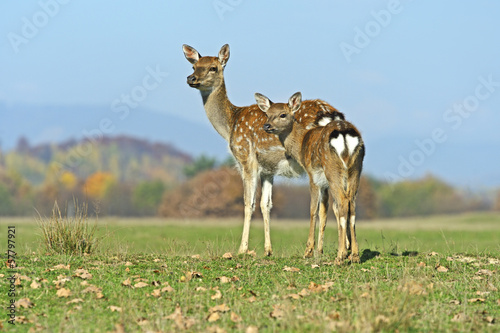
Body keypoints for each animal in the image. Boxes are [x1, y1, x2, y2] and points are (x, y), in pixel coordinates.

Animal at [183, 44, 344, 255]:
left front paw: (242, 249)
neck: (230, 125)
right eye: (194, 66)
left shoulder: (246, 158)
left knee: (329, 202)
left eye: (213, 68)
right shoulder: (268, 169)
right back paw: (322, 250)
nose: (191, 78)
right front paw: (268, 250)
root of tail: (332, 116)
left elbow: (248, 203)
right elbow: (265, 204)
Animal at [256, 91, 366, 262]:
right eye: (267, 114)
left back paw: (340, 256)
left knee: (343, 202)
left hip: (332, 168)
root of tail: (344, 134)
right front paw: (319, 251)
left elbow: (313, 209)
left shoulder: (312, 175)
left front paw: (308, 250)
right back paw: (354, 255)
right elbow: (324, 211)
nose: (266, 126)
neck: (302, 144)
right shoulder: (323, 181)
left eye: (283, 114)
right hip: (356, 168)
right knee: (351, 204)